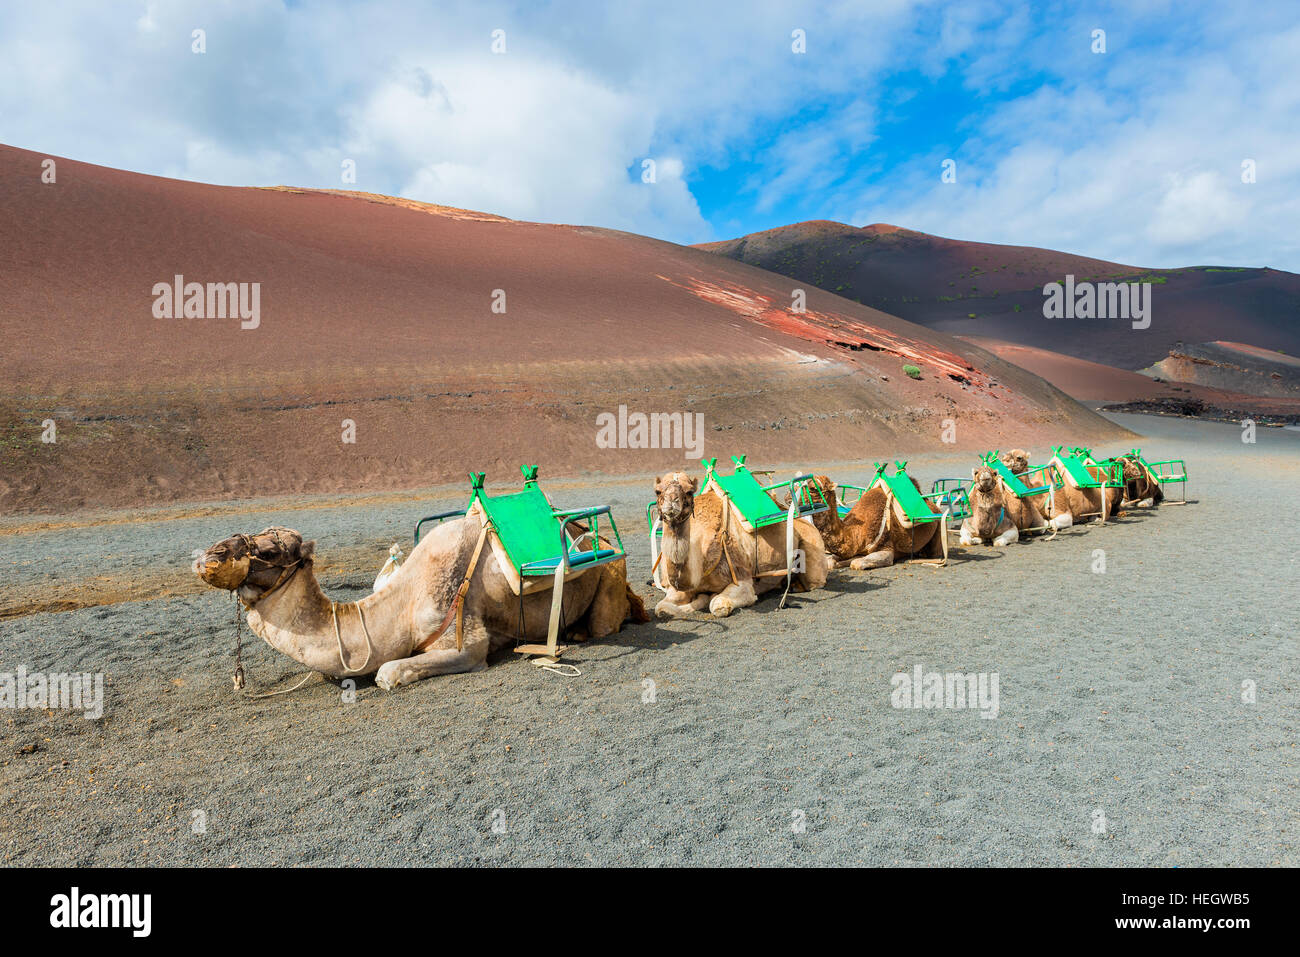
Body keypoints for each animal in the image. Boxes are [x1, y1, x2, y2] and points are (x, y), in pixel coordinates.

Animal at [195, 522, 647, 686]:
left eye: (270, 552)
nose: (207, 556)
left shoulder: (464, 636)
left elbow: (387, 672)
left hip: (611, 574)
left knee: (611, 619)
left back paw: (581, 631)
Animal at [650, 473, 832, 621]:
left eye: (689, 491)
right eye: (658, 491)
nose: (671, 503)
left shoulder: (741, 577)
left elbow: (718, 604)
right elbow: (661, 608)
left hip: (812, 544)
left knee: (814, 580)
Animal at [785, 470, 941, 566]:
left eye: (813, 488)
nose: (787, 498)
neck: (857, 532)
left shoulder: (887, 549)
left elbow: (856, 564)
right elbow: (831, 562)